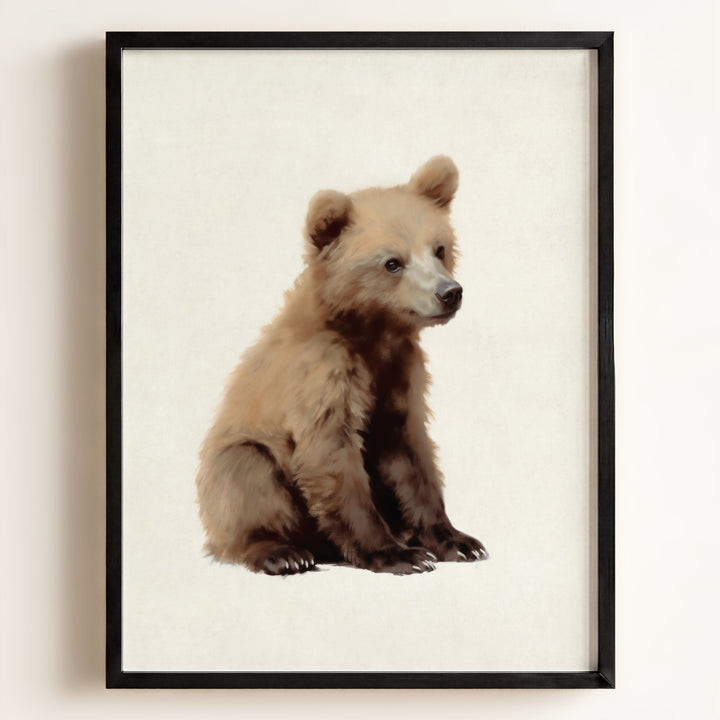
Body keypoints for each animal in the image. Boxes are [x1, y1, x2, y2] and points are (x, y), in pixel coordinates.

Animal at [196, 156, 487, 575]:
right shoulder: (321, 374)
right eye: (392, 262)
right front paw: (398, 554)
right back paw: (282, 552)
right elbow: (332, 455)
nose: (449, 292)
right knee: (245, 474)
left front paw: (457, 541)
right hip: (239, 460)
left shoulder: (399, 375)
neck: (372, 333)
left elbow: (411, 455)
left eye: (439, 248)